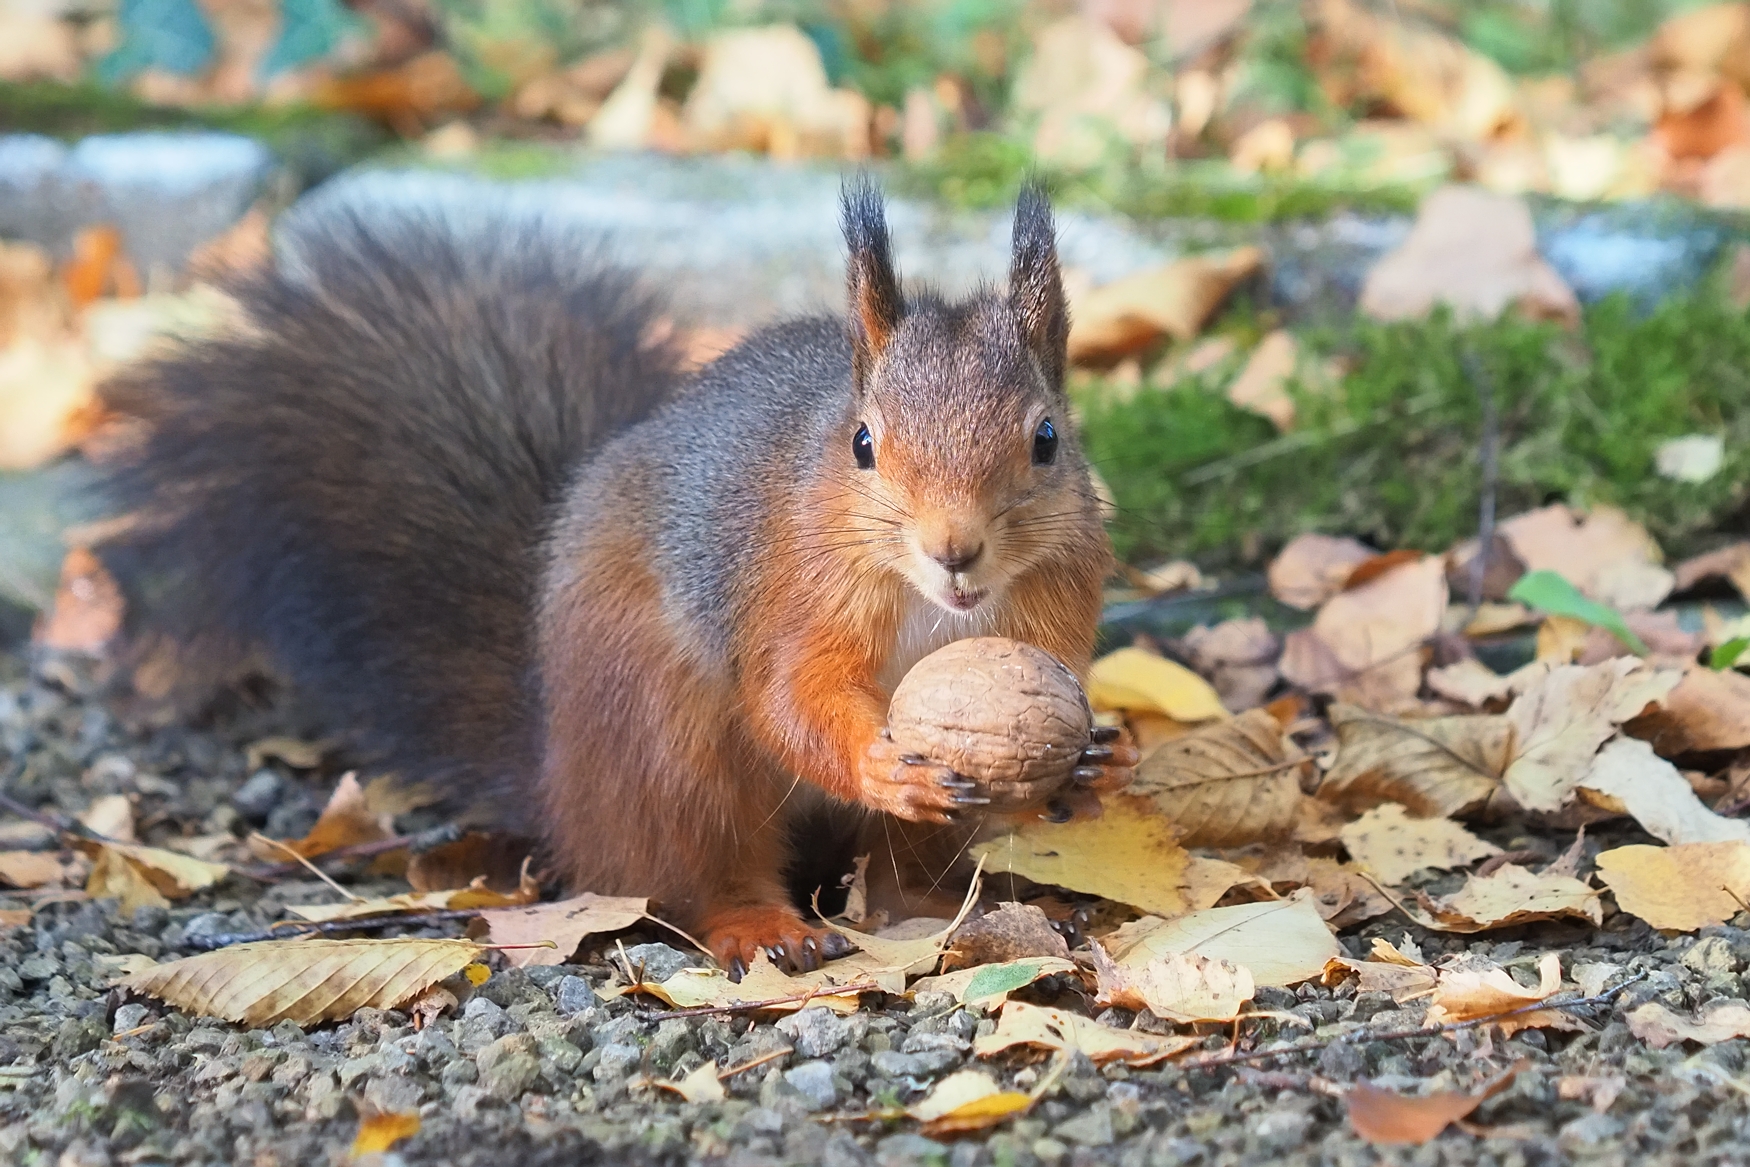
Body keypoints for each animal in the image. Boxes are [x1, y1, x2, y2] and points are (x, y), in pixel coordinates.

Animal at [95, 175, 1141, 979]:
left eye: (1047, 440)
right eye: (863, 444)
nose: (953, 549)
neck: (938, 609)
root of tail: (565, 789)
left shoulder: (1053, 609)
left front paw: (1091, 757)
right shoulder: (791, 590)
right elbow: (786, 698)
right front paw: (879, 759)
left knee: (890, 879)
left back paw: (945, 902)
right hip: (660, 741)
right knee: (693, 874)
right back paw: (764, 927)